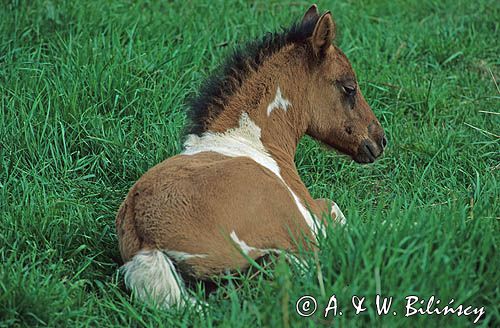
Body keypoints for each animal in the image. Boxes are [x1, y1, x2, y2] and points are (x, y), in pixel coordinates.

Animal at [115, 4, 384, 308]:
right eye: (349, 87)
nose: (380, 140)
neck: (252, 141)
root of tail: (146, 239)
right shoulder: (310, 218)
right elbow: (336, 211)